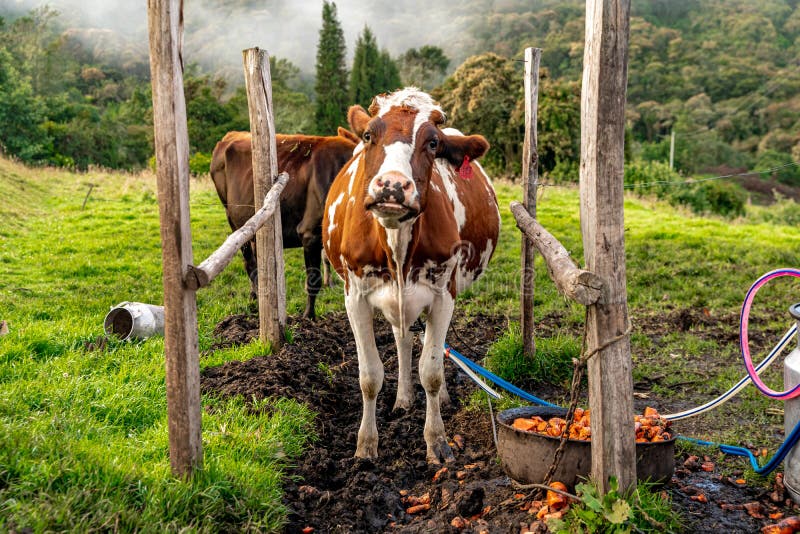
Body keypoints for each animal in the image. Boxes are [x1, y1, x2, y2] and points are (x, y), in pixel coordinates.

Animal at [210, 127, 358, 319]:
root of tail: (232, 134)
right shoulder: (310, 233)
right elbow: (313, 280)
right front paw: (308, 317)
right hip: (235, 222)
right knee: (249, 264)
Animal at [323, 88, 500, 463]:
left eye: (433, 143)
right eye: (368, 135)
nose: (392, 186)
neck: (396, 239)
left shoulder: (443, 294)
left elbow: (431, 372)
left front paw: (437, 441)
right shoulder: (355, 297)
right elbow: (369, 376)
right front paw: (366, 445)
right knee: (402, 340)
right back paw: (403, 398)